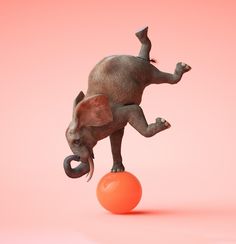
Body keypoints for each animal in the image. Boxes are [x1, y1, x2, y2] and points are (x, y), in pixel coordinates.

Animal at [63, 26, 191, 181]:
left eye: (77, 141)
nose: (75, 157)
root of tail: (136, 57)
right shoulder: (112, 124)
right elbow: (116, 139)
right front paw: (116, 171)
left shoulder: (117, 112)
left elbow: (135, 109)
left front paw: (163, 122)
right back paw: (141, 33)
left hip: (144, 70)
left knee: (161, 77)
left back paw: (182, 66)